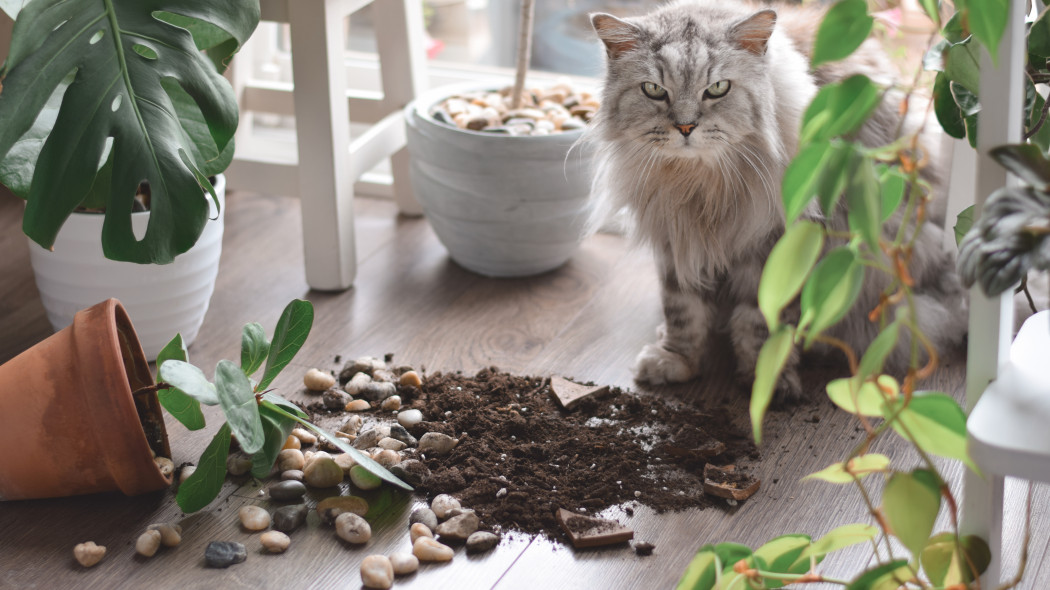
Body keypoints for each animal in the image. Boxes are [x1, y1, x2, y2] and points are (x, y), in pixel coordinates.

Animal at [588, 2, 961, 396]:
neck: (702, 185)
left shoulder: (775, 244)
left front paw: (766, 379)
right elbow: (682, 311)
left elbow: (761, 319)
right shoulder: (674, 236)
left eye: (717, 88)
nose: (685, 127)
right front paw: (675, 361)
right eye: (654, 90)